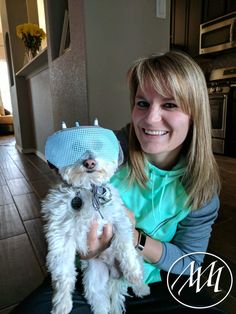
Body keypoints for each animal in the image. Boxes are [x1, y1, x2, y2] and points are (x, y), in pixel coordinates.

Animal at [42, 122, 149, 314]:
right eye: (74, 147)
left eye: (99, 145)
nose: (89, 162)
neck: (87, 190)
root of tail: (114, 275)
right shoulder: (60, 236)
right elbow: (63, 272)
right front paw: (62, 303)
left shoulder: (120, 221)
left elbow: (124, 245)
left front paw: (132, 272)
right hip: (94, 280)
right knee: (99, 300)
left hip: (138, 256)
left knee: (137, 269)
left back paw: (141, 286)